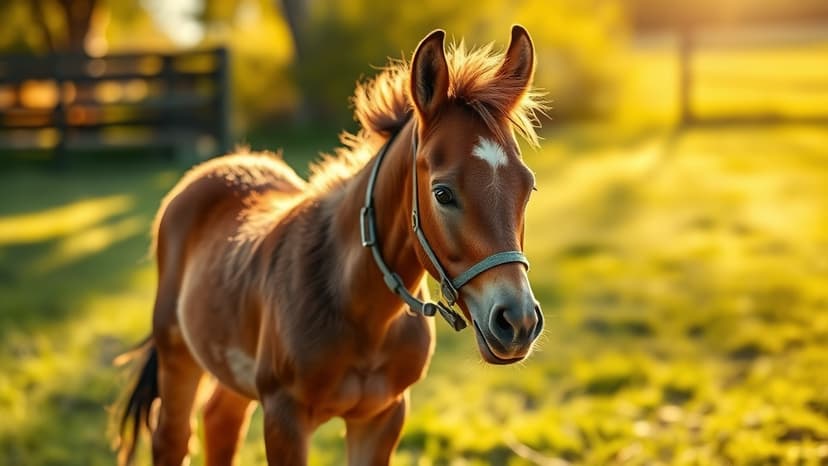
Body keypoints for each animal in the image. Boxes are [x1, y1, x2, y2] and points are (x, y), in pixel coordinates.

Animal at [115, 25, 545, 466]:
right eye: (442, 193)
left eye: (528, 188)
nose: (517, 323)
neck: (356, 305)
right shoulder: (284, 416)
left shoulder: (382, 416)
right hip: (177, 354)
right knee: (172, 437)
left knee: (220, 421)